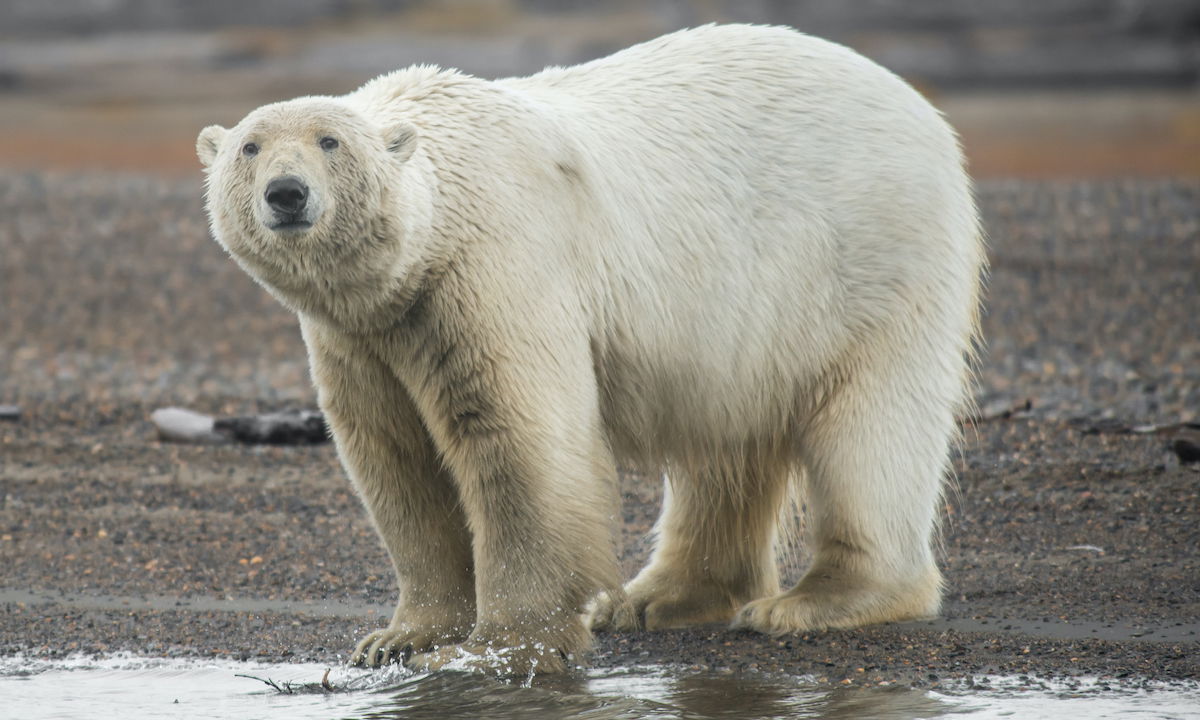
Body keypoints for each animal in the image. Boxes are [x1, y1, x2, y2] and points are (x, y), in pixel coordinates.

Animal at [196, 23, 984, 676]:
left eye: (330, 142)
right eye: (250, 148)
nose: (287, 193)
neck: (424, 250)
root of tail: (916, 104)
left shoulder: (493, 267)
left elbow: (519, 442)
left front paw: (494, 650)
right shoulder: (363, 334)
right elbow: (396, 458)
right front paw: (396, 639)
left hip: (868, 257)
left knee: (870, 427)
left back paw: (811, 602)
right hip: (746, 324)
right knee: (724, 445)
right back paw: (655, 598)